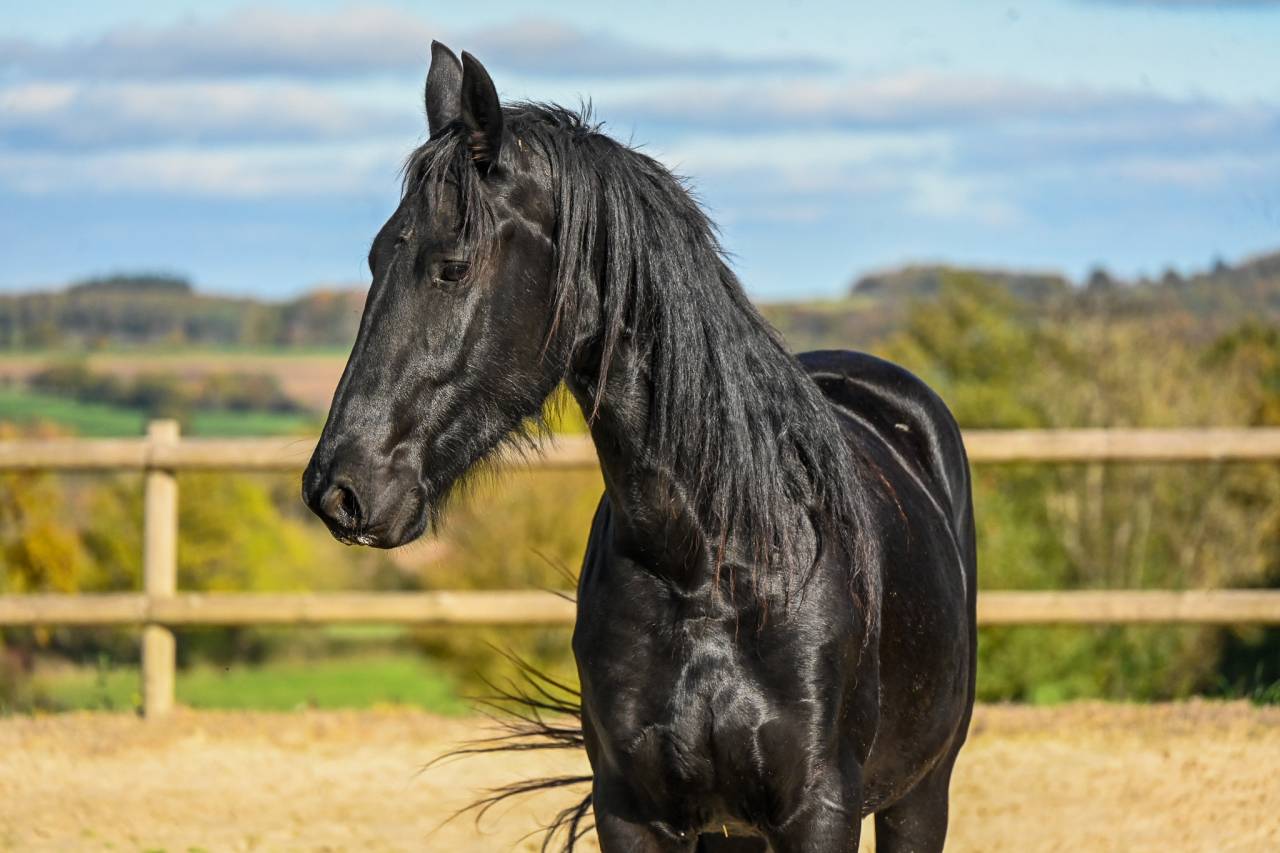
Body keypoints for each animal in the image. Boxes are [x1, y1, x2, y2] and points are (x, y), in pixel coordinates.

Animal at [303, 42, 976, 853]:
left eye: (452, 266)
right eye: (376, 258)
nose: (338, 488)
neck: (711, 563)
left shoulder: (821, 810)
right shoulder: (631, 809)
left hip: (921, 794)